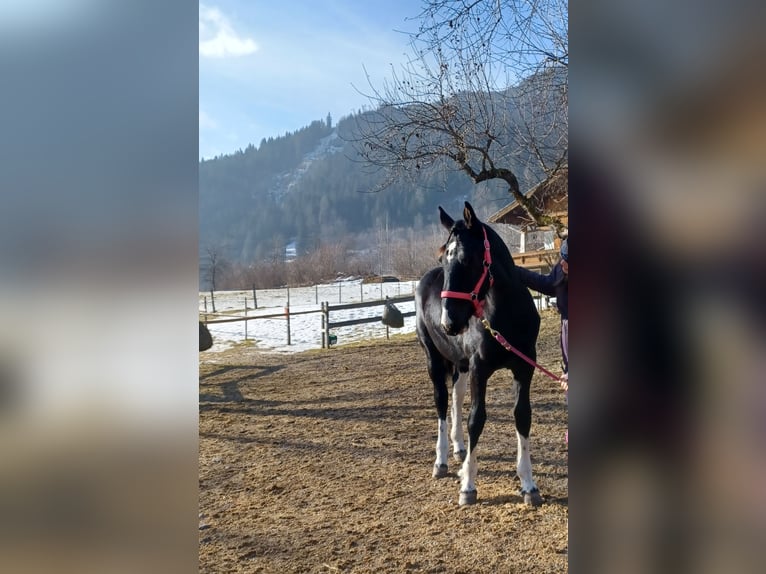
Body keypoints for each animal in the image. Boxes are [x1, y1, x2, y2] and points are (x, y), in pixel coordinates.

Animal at [414, 202, 544, 508]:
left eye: (467, 259)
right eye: (444, 259)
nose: (449, 322)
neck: (506, 317)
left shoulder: (524, 368)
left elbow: (522, 415)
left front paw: (529, 485)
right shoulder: (479, 369)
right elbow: (477, 419)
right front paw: (468, 487)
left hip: (460, 364)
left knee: (456, 397)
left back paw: (459, 448)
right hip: (434, 359)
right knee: (441, 401)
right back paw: (441, 461)